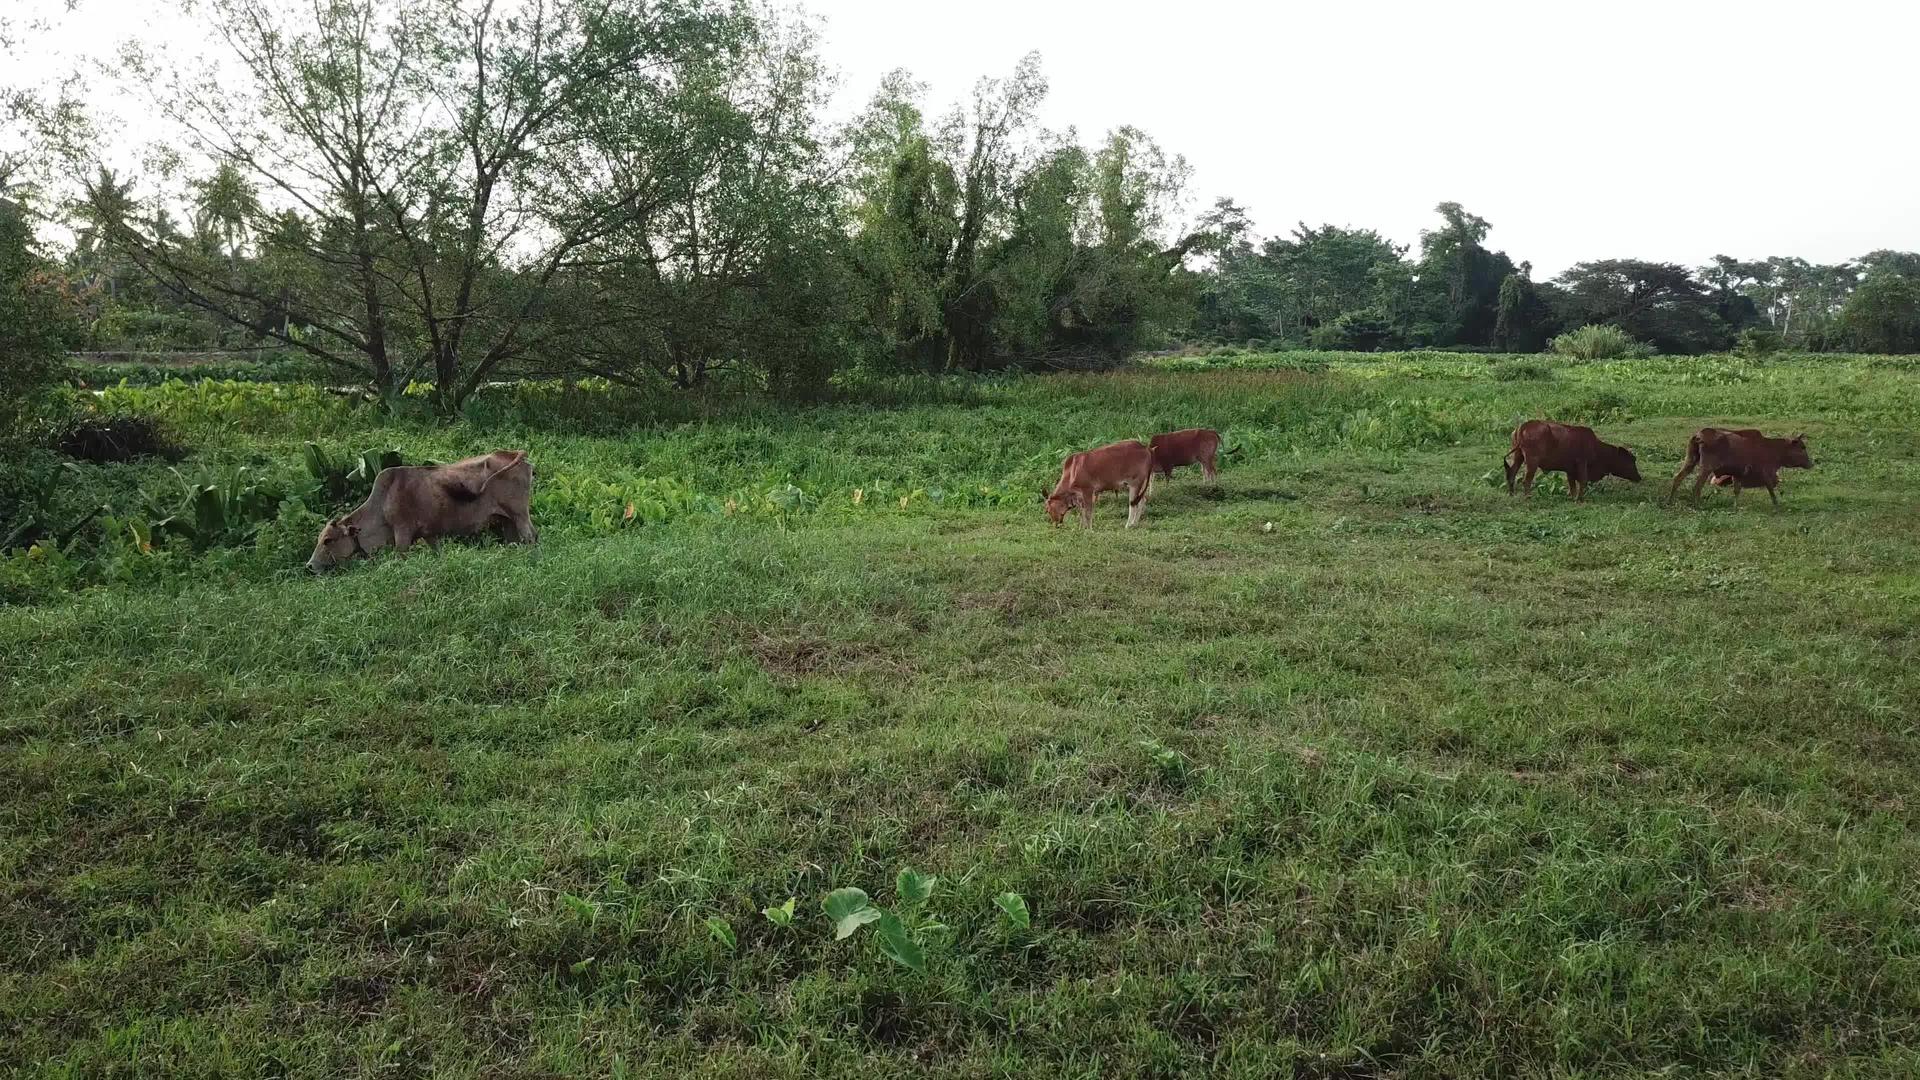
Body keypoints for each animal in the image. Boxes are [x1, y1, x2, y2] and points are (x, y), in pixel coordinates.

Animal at [309, 447, 537, 572]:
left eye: (328, 540)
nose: (310, 565)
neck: (381, 505)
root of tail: (513, 453)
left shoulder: (402, 534)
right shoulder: (429, 535)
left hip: (519, 516)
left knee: (529, 539)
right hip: (508, 520)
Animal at [1505, 422, 1643, 503]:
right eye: (1631, 461)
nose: (1639, 477)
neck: (1596, 447)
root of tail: (1523, 426)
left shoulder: (1570, 469)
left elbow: (1572, 484)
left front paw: (1573, 497)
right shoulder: (1582, 463)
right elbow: (1583, 481)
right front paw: (1580, 499)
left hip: (1518, 456)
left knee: (1512, 473)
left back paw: (1511, 494)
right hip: (1532, 461)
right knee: (1526, 480)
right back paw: (1528, 497)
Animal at [1666, 424, 1812, 503]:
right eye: (1802, 447)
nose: (1811, 463)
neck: (1773, 449)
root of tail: (1698, 435)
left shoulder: (1738, 473)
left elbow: (1736, 490)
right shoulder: (1766, 471)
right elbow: (1771, 489)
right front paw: (1777, 506)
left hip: (1691, 460)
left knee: (1677, 478)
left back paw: (1670, 501)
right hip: (1706, 467)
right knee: (1697, 487)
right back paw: (1698, 505)